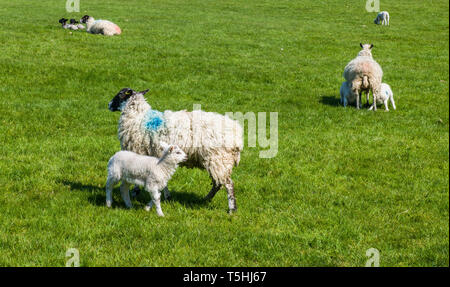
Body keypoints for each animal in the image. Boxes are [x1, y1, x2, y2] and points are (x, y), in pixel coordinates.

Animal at [107, 89, 244, 215]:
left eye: (120, 94)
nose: (108, 105)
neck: (138, 117)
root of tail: (237, 135)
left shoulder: (139, 151)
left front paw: (136, 192)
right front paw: (166, 196)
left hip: (218, 159)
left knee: (228, 184)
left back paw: (232, 209)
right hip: (218, 161)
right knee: (218, 183)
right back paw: (205, 199)